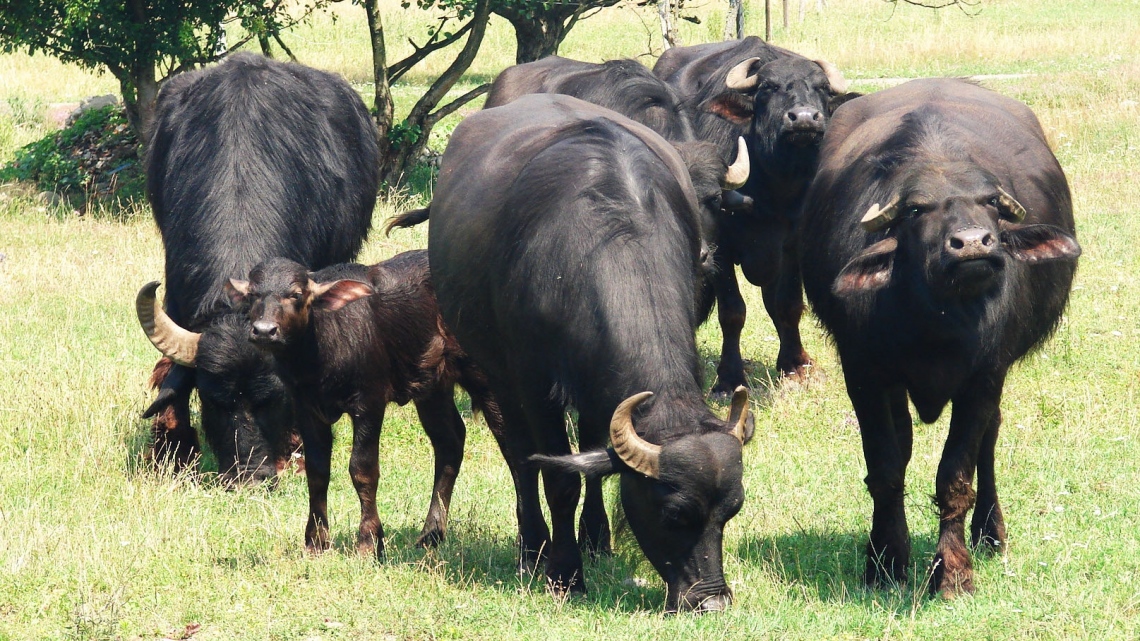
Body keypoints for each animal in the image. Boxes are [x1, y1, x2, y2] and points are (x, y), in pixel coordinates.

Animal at [428, 93, 756, 606]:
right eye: (674, 514)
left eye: (731, 511)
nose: (711, 600)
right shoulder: (533, 384)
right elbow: (559, 478)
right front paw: (565, 573)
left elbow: (595, 463)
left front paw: (593, 542)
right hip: (495, 370)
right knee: (518, 455)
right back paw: (532, 547)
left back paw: (595, 539)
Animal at [656, 39, 852, 392]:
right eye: (768, 88)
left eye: (821, 88)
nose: (804, 118)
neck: (774, 187)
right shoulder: (719, 247)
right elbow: (733, 312)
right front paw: (729, 377)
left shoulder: (791, 245)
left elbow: (786, 304)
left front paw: (795, 366)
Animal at [798, 78, 1080, 593]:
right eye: (916, 208)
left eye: (990, 202)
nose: (972, 243)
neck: (937, 323)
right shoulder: (864, 374)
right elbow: (886, 467)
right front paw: (885, 560)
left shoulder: (985, 376)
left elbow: (955, 475)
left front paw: (952, 571)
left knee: (989, 440)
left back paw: (990, 532)